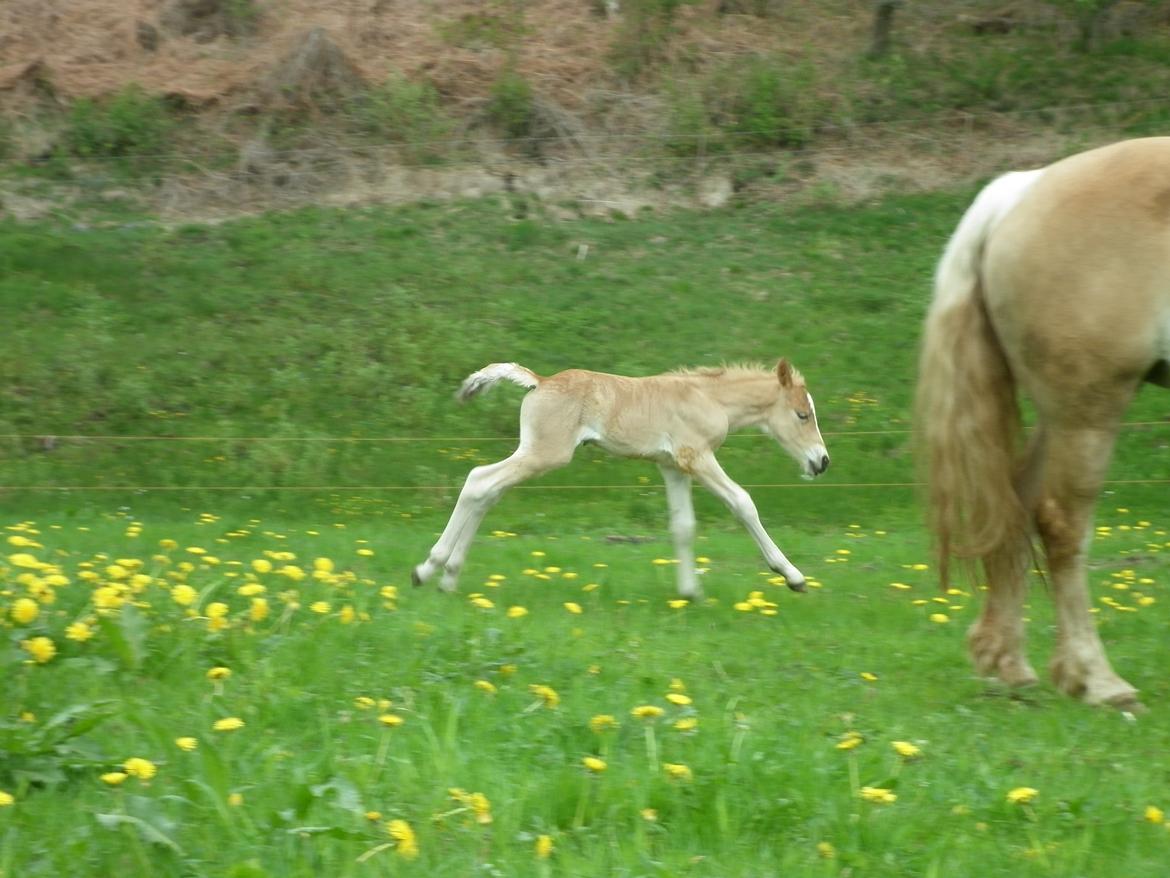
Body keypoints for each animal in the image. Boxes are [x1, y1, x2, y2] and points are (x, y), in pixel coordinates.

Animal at [414, 358, 833, 599]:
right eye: (802, 415)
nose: (822, 461)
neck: (708, 397)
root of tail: (541, 380)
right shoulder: (696, 457)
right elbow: (744, 502)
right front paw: (793, 576)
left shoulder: (672, 466)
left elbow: (683, 526)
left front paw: (689, 592)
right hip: (545, 453)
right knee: (478, 481)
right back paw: (427, 569)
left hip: (534, 453)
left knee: (487, 491)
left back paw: (448, 578)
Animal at [917, 139, 1165, 716]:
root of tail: (1021, 190)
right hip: (1088, 410)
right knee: (1061, 526)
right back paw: (1097, 680)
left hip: (1061, 416)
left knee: (1019, 504)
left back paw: (1008, 660)